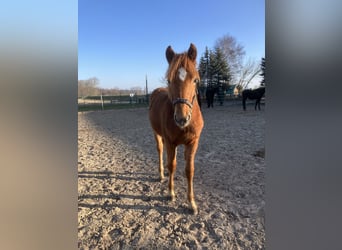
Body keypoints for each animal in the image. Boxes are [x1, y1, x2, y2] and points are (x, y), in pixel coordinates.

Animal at [149, 44, 203, 214]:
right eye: (169, 80)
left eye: (196, 80)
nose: (181, 119)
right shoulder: (170, 142)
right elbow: (172, 165)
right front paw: (171, 192)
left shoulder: (193, 143)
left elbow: (189, 170)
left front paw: (192, 203)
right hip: (157, 134)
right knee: (161, 151)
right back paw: (161, 174)